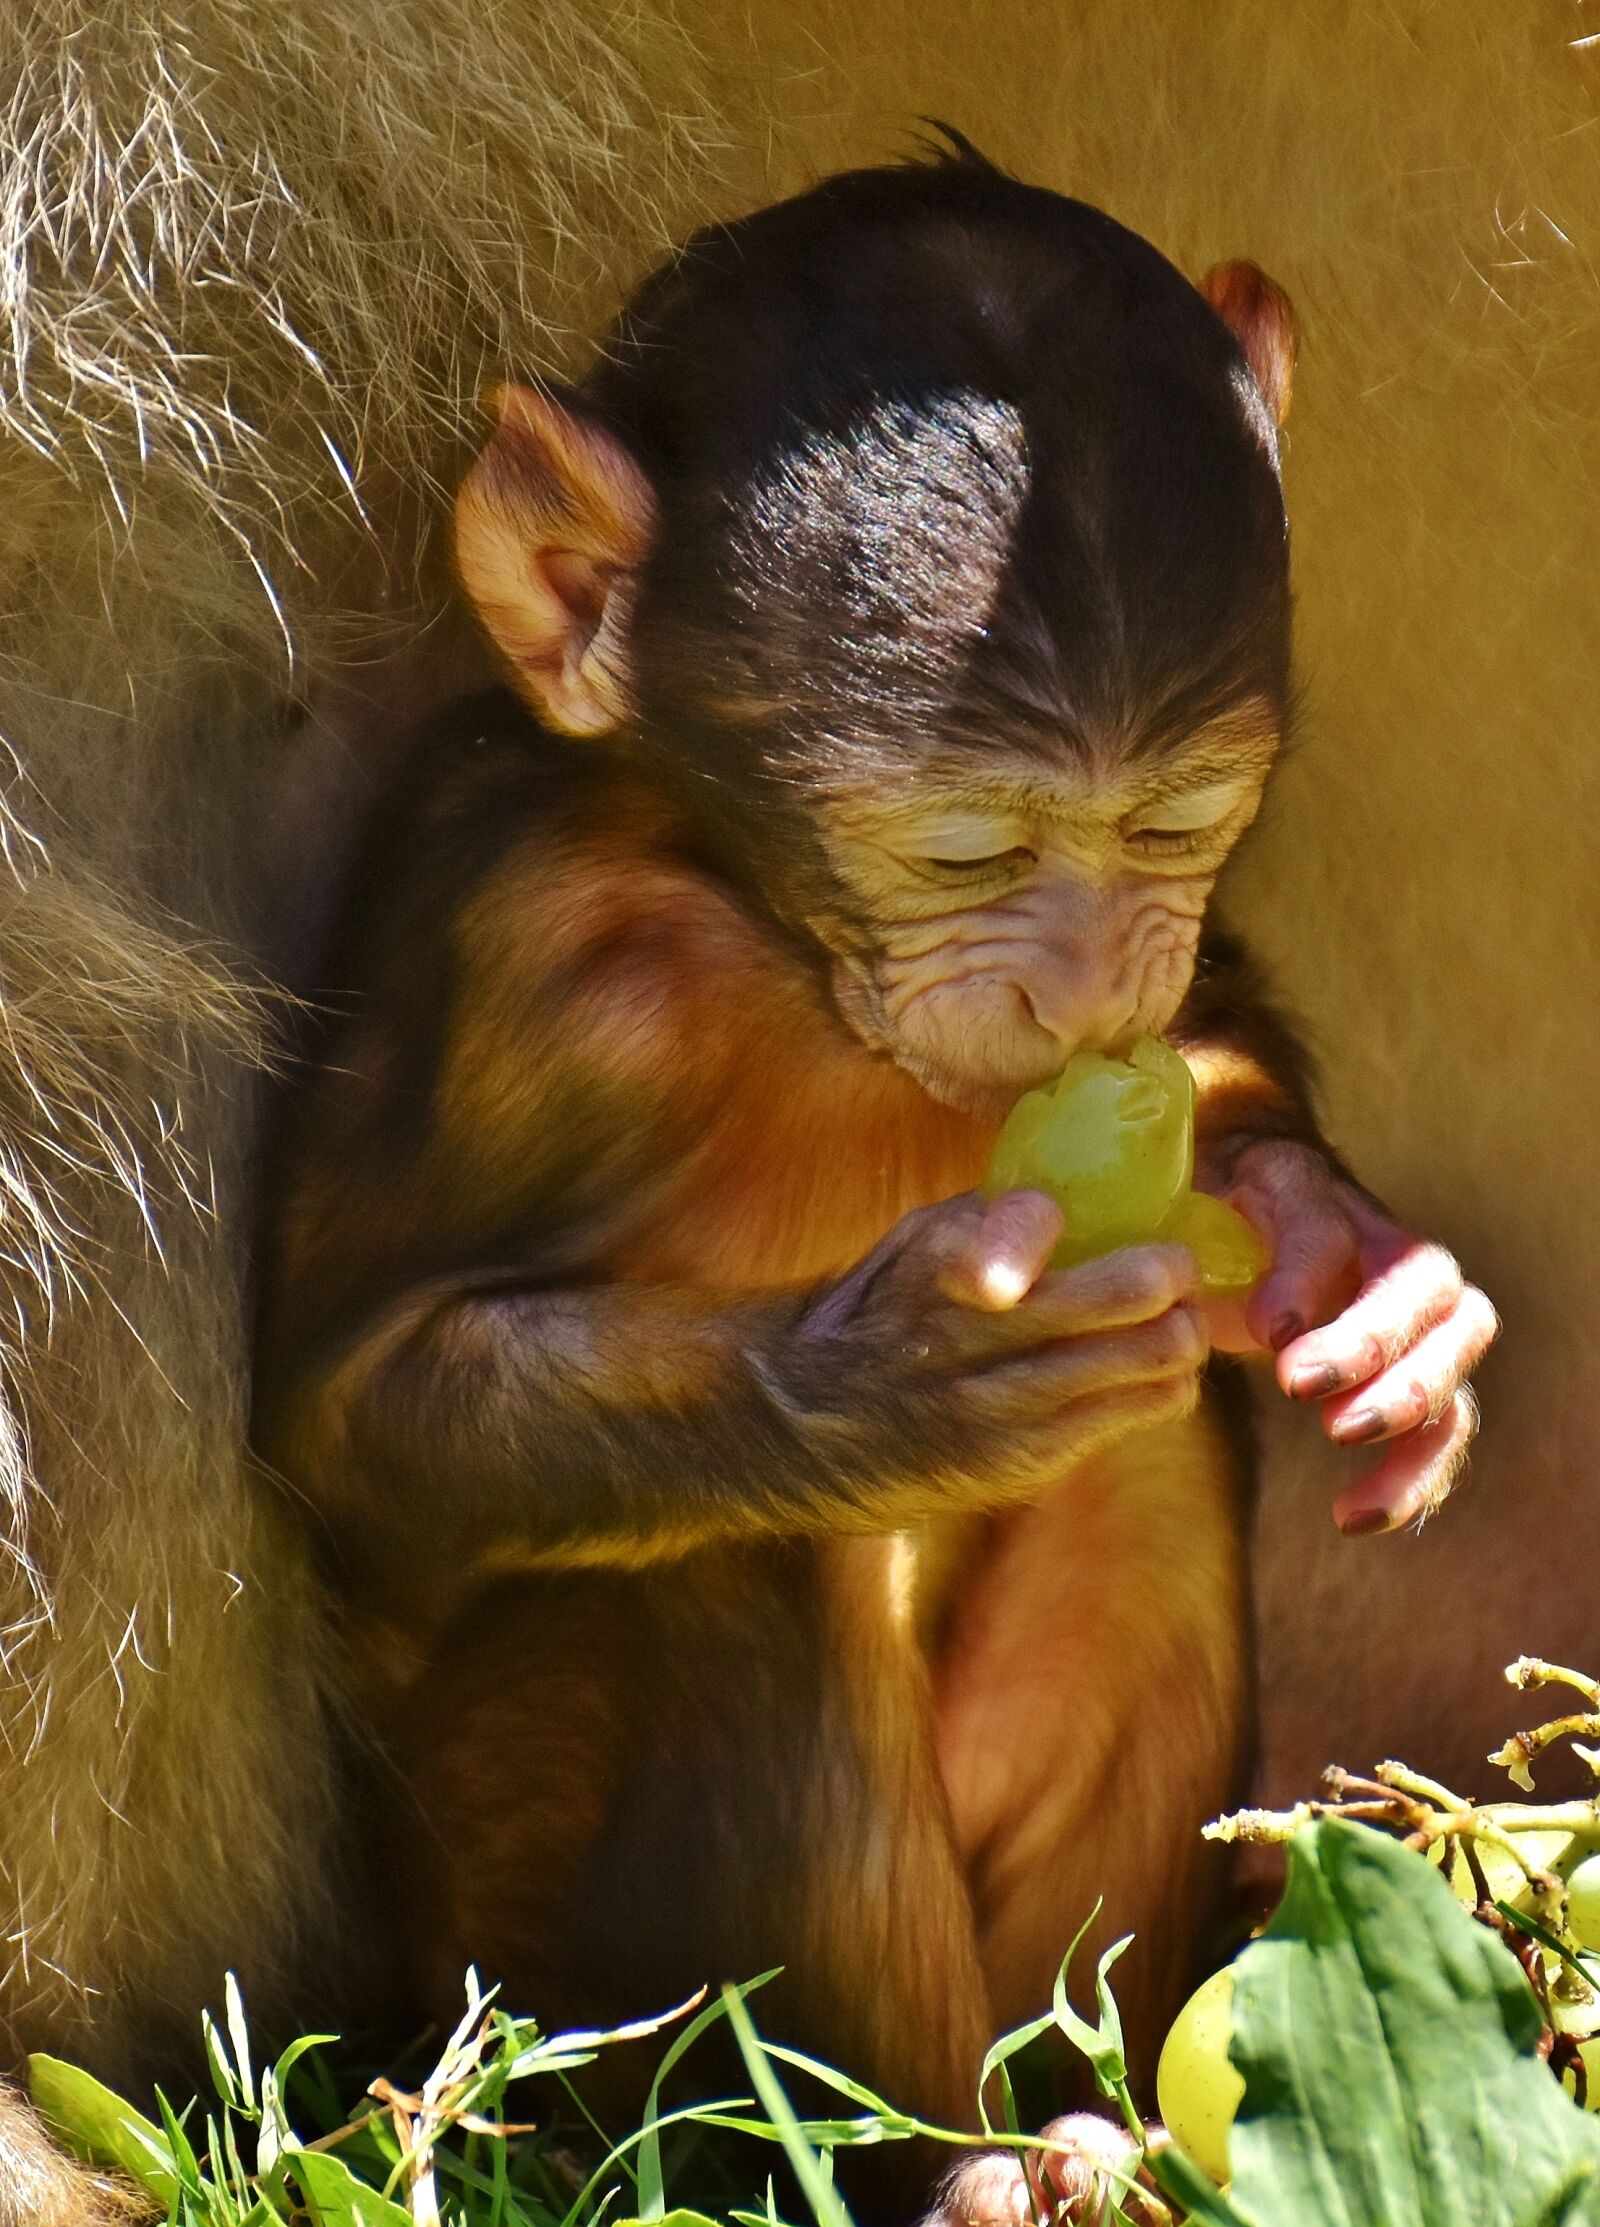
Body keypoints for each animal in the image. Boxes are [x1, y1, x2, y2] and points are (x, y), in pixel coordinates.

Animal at [253, 148, 1497, 2223]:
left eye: (1181, 817)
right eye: (963, 848)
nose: (1085, 981)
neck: (779, 942)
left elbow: (1216, 1037)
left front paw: (1350, 1268)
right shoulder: (520, 961)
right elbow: (342, 1429)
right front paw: (875, 1384)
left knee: (1141, 1471)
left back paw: (1094, 2127)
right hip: (506, 1968)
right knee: (740, 1568)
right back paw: (942, 2169)